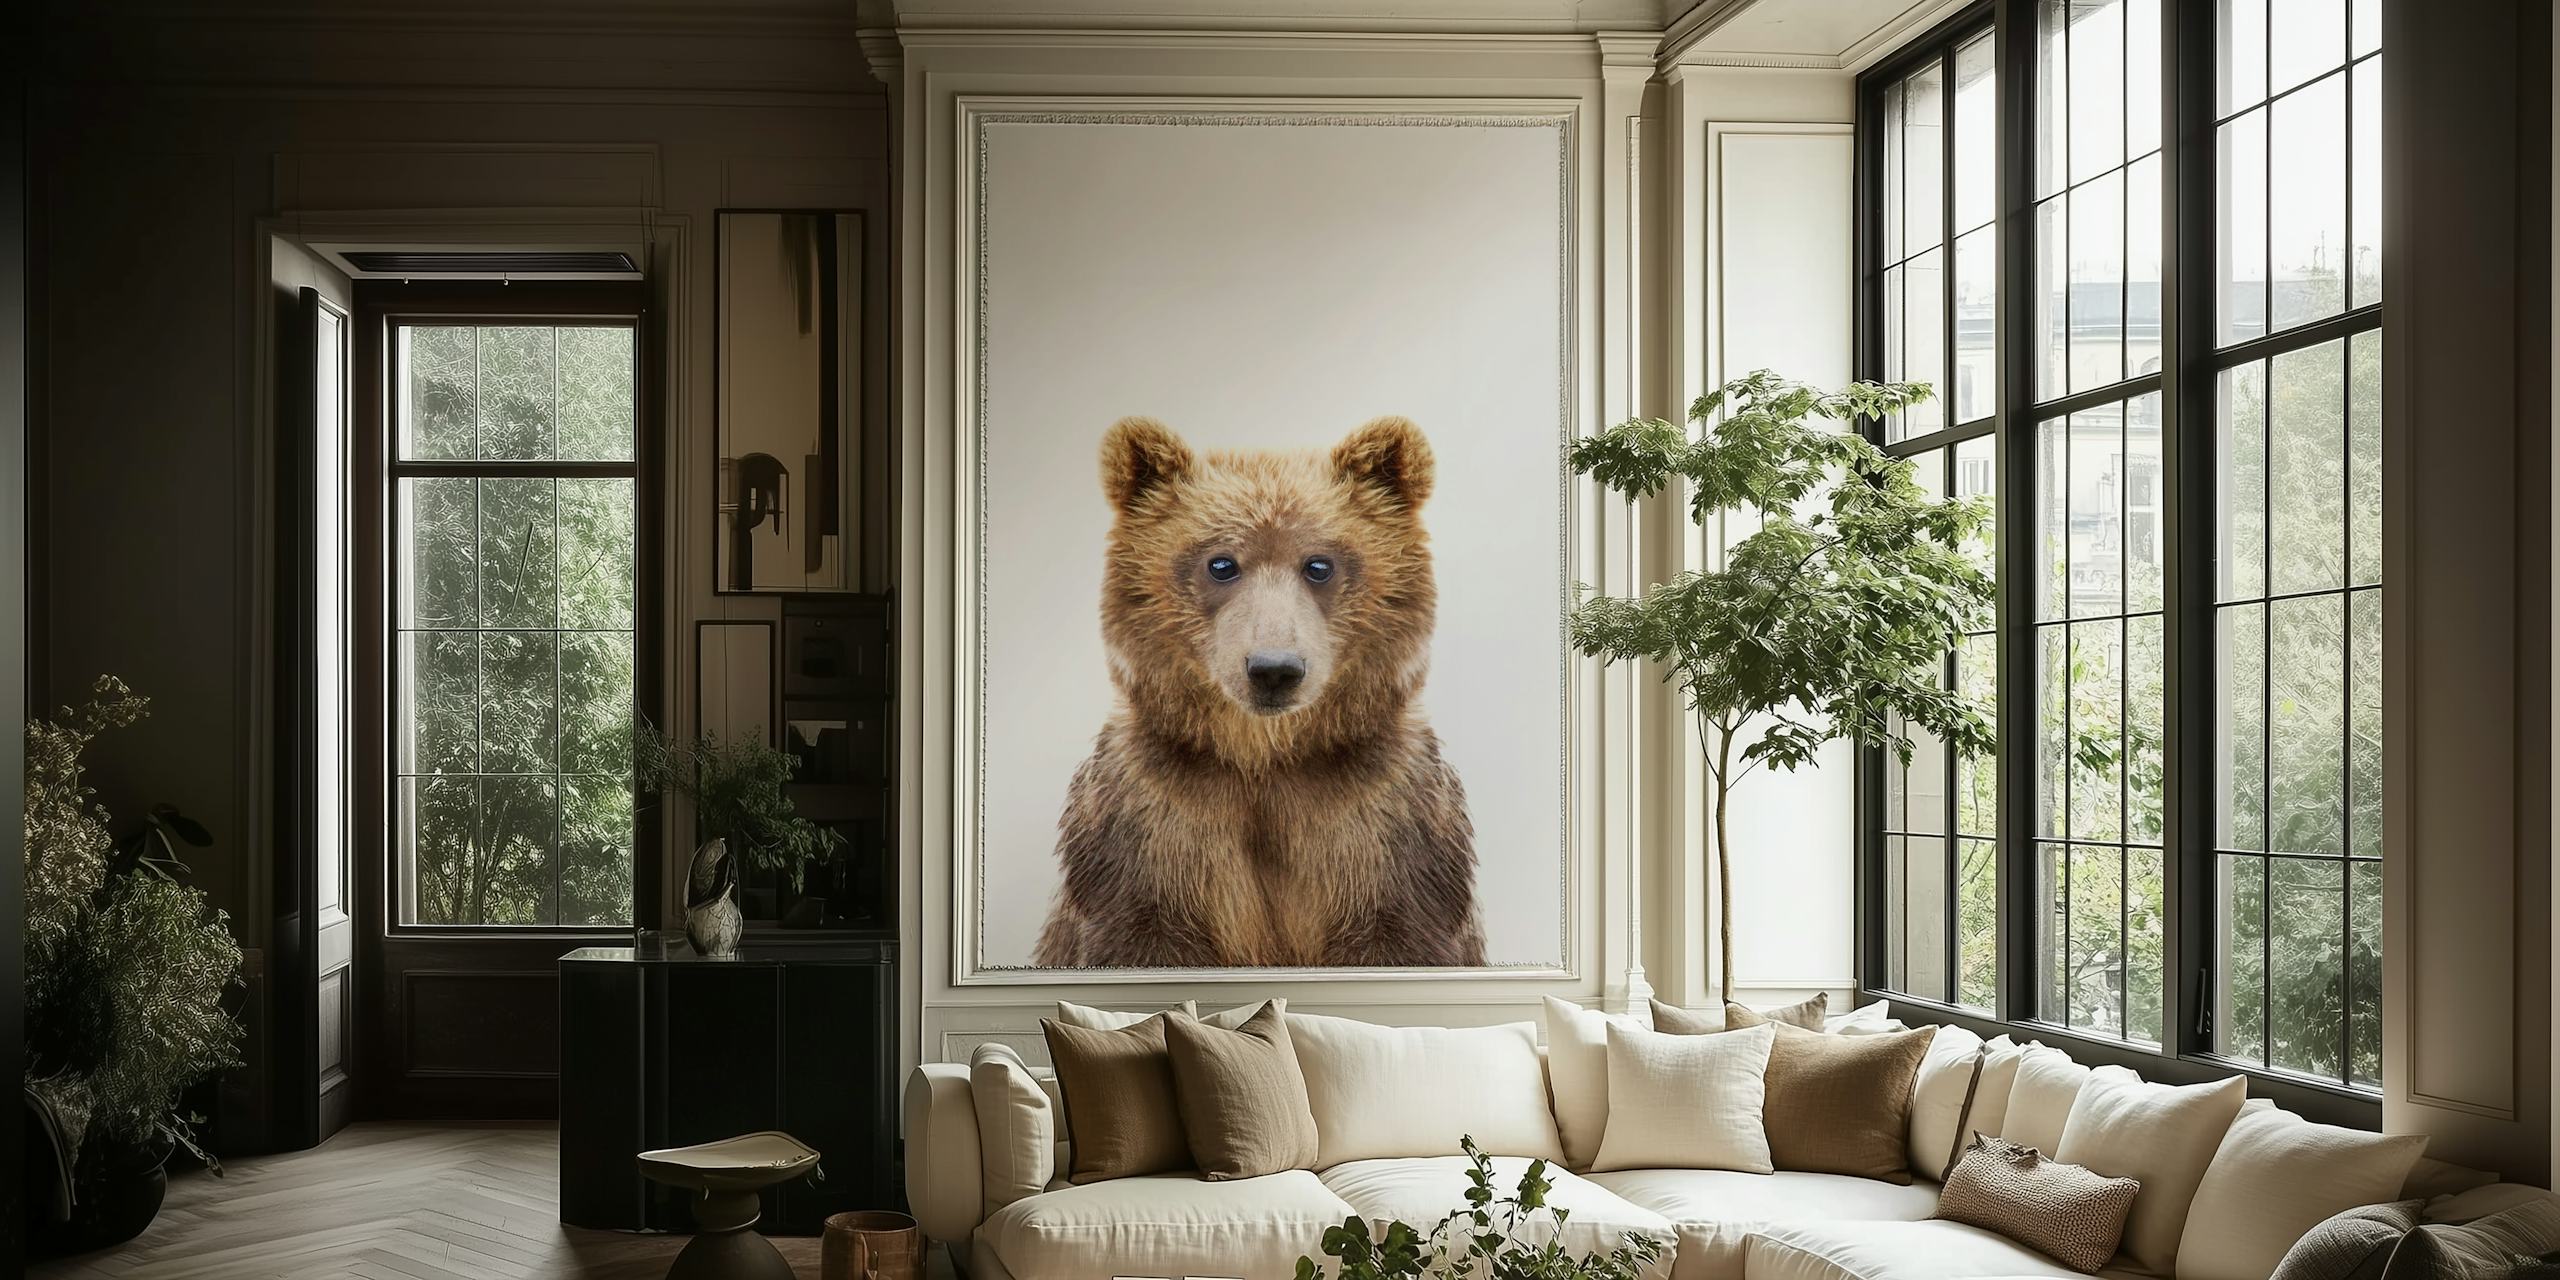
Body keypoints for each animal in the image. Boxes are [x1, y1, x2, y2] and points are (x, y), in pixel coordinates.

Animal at [1030, 415, 1486, 969]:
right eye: (1221, 563)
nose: (1273, 669)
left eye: (1319, 564)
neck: (1265, 759)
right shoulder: (1150, 827)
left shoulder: (1385, 828)